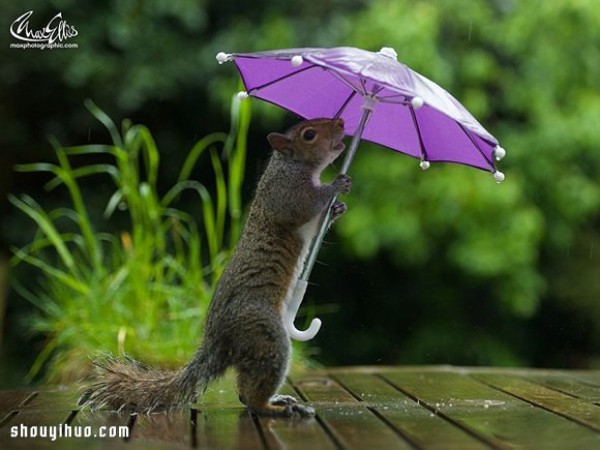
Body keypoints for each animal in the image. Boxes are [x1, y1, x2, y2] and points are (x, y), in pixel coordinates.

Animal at [79, 118, 352, 416]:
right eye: (309, 134)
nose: (341, 122)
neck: (291, 164)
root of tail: (218, 341)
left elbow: (315, 225)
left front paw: (337, 208)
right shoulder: (285, 194)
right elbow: (303, 206)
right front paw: (335, 186)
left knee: (245, 389)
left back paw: (278, 401)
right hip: (264, 331)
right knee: (253, 394)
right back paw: (275, 408)